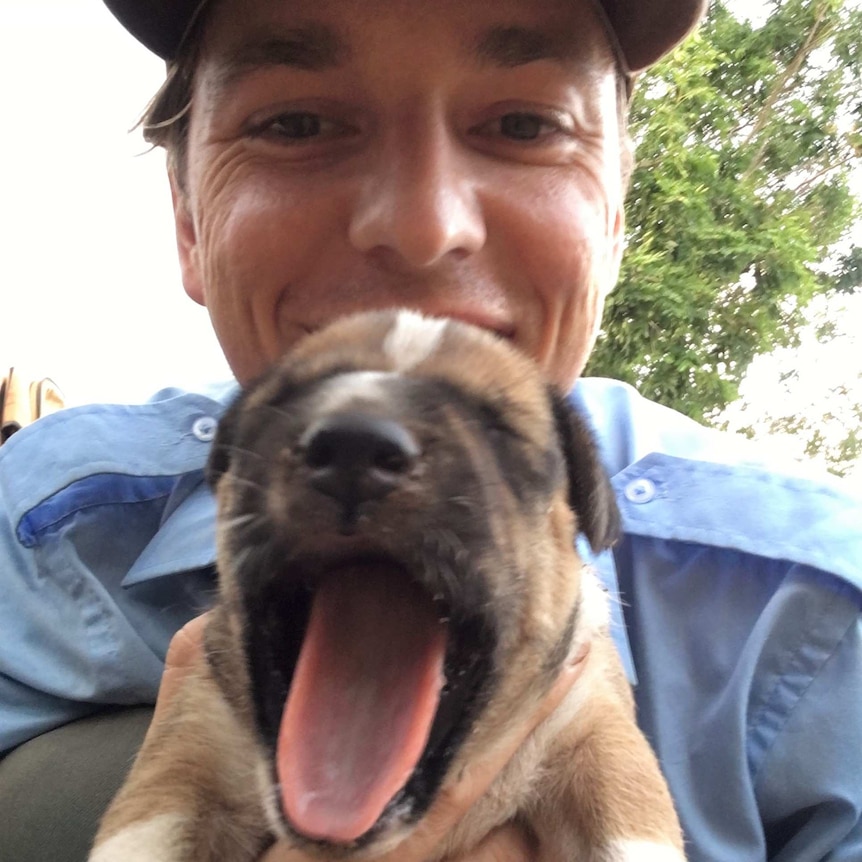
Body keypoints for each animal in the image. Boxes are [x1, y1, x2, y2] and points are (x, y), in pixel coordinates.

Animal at [86, 310, 680, 862]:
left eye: (498, 428)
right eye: (281, 402)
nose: (354, 446)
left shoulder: (594, 732)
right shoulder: (191, 746)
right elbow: (143, 835)